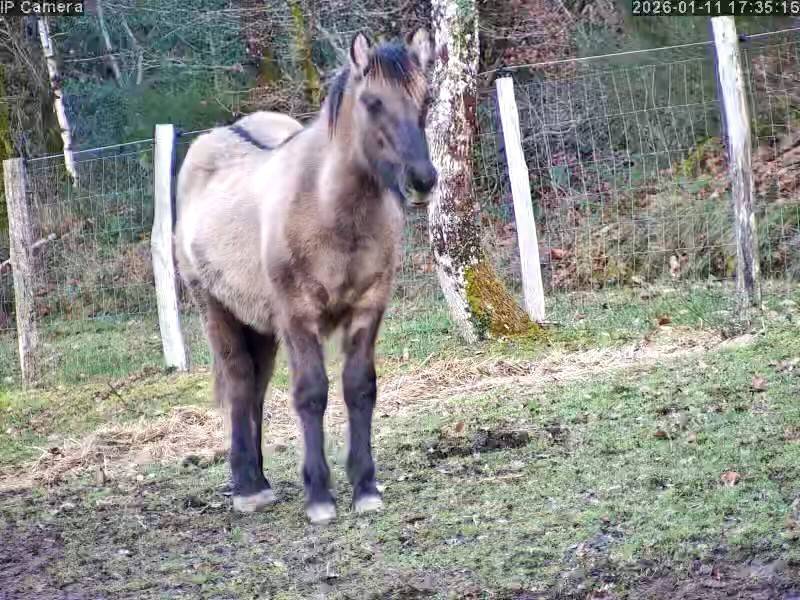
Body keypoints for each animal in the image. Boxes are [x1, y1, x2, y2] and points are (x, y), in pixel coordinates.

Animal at [174, 29, 437, 524]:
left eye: (426, 98)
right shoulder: (298, 317)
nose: (423, 180)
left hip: (260, 324)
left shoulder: (368, 307)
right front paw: (319, 496)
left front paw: (365, 487)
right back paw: (247, 487)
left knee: (258, 387)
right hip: (216, 310)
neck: (328, 209)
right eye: (372, 101)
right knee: (240, 382)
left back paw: (261, 478)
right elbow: (312, 394)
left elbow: (360, 388)